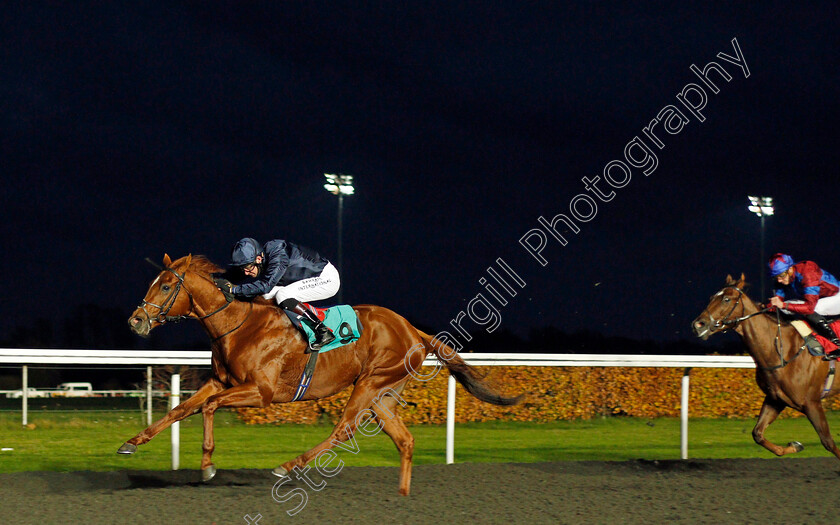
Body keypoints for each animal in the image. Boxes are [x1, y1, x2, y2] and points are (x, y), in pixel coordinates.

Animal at [119, 254, 520, 496]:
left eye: (166, 285)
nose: (135, 320)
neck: (239, 324)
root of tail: (413, 330)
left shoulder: (260, 391)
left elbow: (209, 408)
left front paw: (207, 467)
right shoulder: (221, 381)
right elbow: (181, 409)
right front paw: (131, 443)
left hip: (370, 383)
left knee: (343, 430)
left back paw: (287, 466)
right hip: (382, 394)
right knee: (404, 440)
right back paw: (402, 496)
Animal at [692, 272, 840, 460]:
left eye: (726, 299)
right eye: (712, 297)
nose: (698, 325)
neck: (781, 352)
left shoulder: (812, 403)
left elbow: (828, 442)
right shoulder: (775, 399)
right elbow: (758, 434)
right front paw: (794, 446)